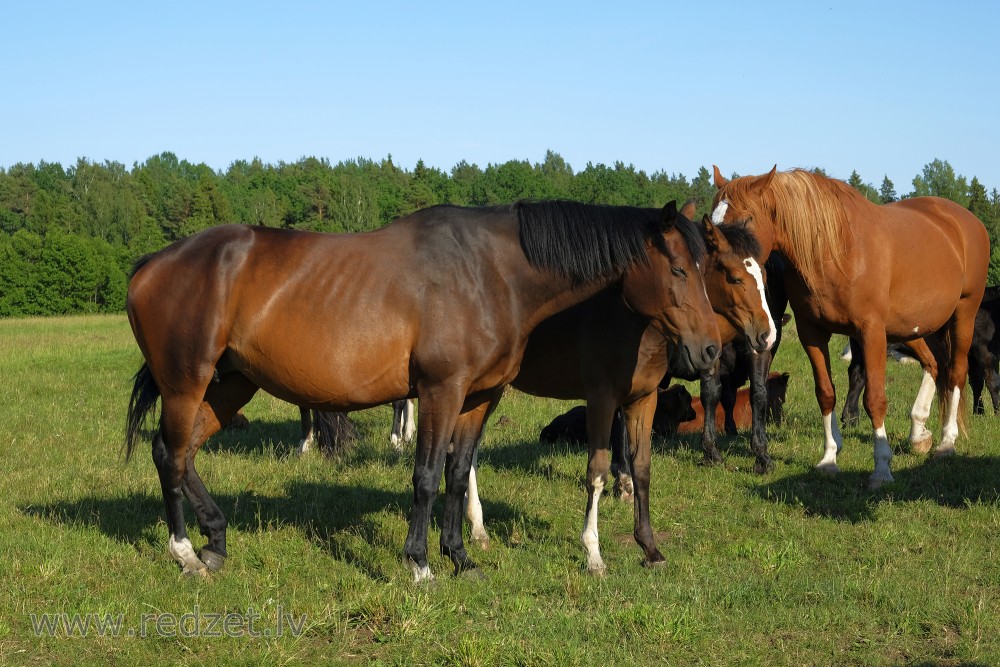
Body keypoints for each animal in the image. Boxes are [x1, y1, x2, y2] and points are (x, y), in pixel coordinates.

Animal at [125, 198, 724, 580]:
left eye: (706, 266)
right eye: (677, 269)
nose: (710, 351)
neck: (490, 272)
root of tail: (152, 262)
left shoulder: (479, 397)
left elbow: (458, 476)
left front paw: (461, 558)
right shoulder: (441, 390)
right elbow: (427, 477)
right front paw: (419, 564)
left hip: (230, 386)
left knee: (178, 452)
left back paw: (215, 542)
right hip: (187, 383)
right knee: (171, 454)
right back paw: (185, 552)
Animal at [716, 164, 988, 488]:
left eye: (745, 219)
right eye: (713, 220)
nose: (720, 269)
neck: (835, 252)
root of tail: (966, 220)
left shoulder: (871, 333)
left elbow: (875, 399)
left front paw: (881, 468)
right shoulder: (812, 333)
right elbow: (825, 393)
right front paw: (829, 458)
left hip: (963, 314)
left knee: (956, 372)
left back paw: (946, 443)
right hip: (917, 327)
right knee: (935, 365)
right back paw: (919, 432)